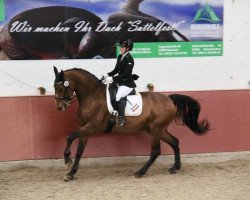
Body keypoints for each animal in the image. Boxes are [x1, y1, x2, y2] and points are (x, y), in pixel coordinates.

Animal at [53, 66, 210, 180]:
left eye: (60, 88)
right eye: (54, 87)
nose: (60, 107)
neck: (92, 96)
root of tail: (170, 99)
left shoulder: (91, 127)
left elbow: (70, 136)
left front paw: (67, 160)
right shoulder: (84, 128)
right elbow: (80, 150)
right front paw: (71, 173)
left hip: (155, 130)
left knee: (156, 151)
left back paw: (140, 172)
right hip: (158, 130)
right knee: (175, 142)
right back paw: (174, 168)